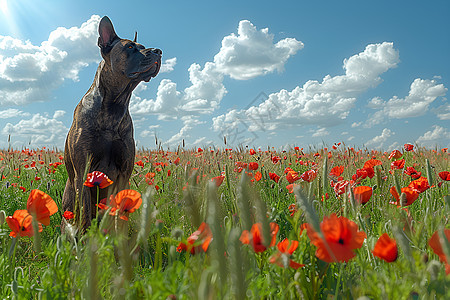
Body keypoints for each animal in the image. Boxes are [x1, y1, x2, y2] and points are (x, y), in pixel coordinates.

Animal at [62, 16, 162, 231]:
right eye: (130, 47)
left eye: (142, 47)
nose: (158, 51)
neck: (114, 104)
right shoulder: (83, 171)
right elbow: (85, 216)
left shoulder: (124, 172)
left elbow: (119, 217)